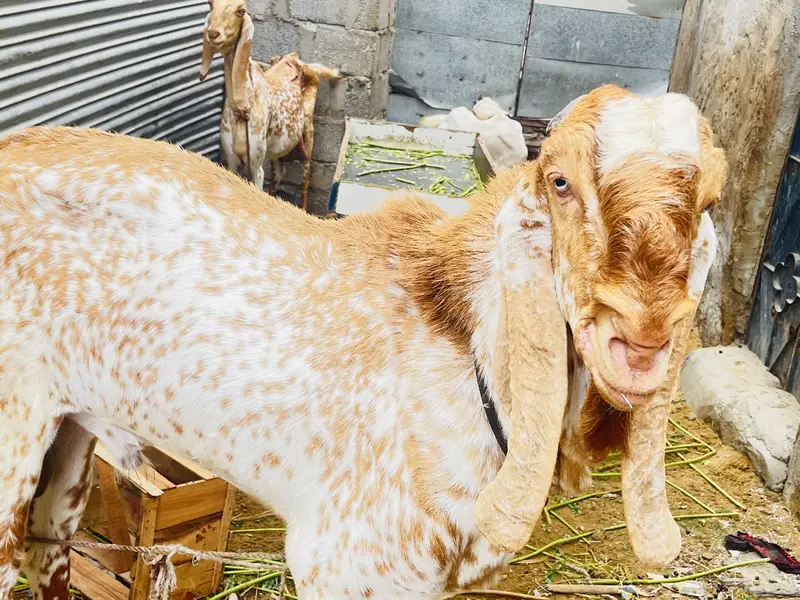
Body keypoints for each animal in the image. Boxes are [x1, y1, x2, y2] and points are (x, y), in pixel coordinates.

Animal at [0, 85, 726, 599]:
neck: (468, 363)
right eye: (560, 181)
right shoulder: (344, 567)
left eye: (710, 202)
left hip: (68, 435)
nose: (639, 336)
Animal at [199, 0, 340, 211]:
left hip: (308, 134)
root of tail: (303, 63)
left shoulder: (256, 164)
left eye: (241, 10)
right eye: (210, 4)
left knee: (305, 183)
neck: (244, 107)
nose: (213, 34)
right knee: (279, 175)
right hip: (277, 152)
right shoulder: (231, 158)